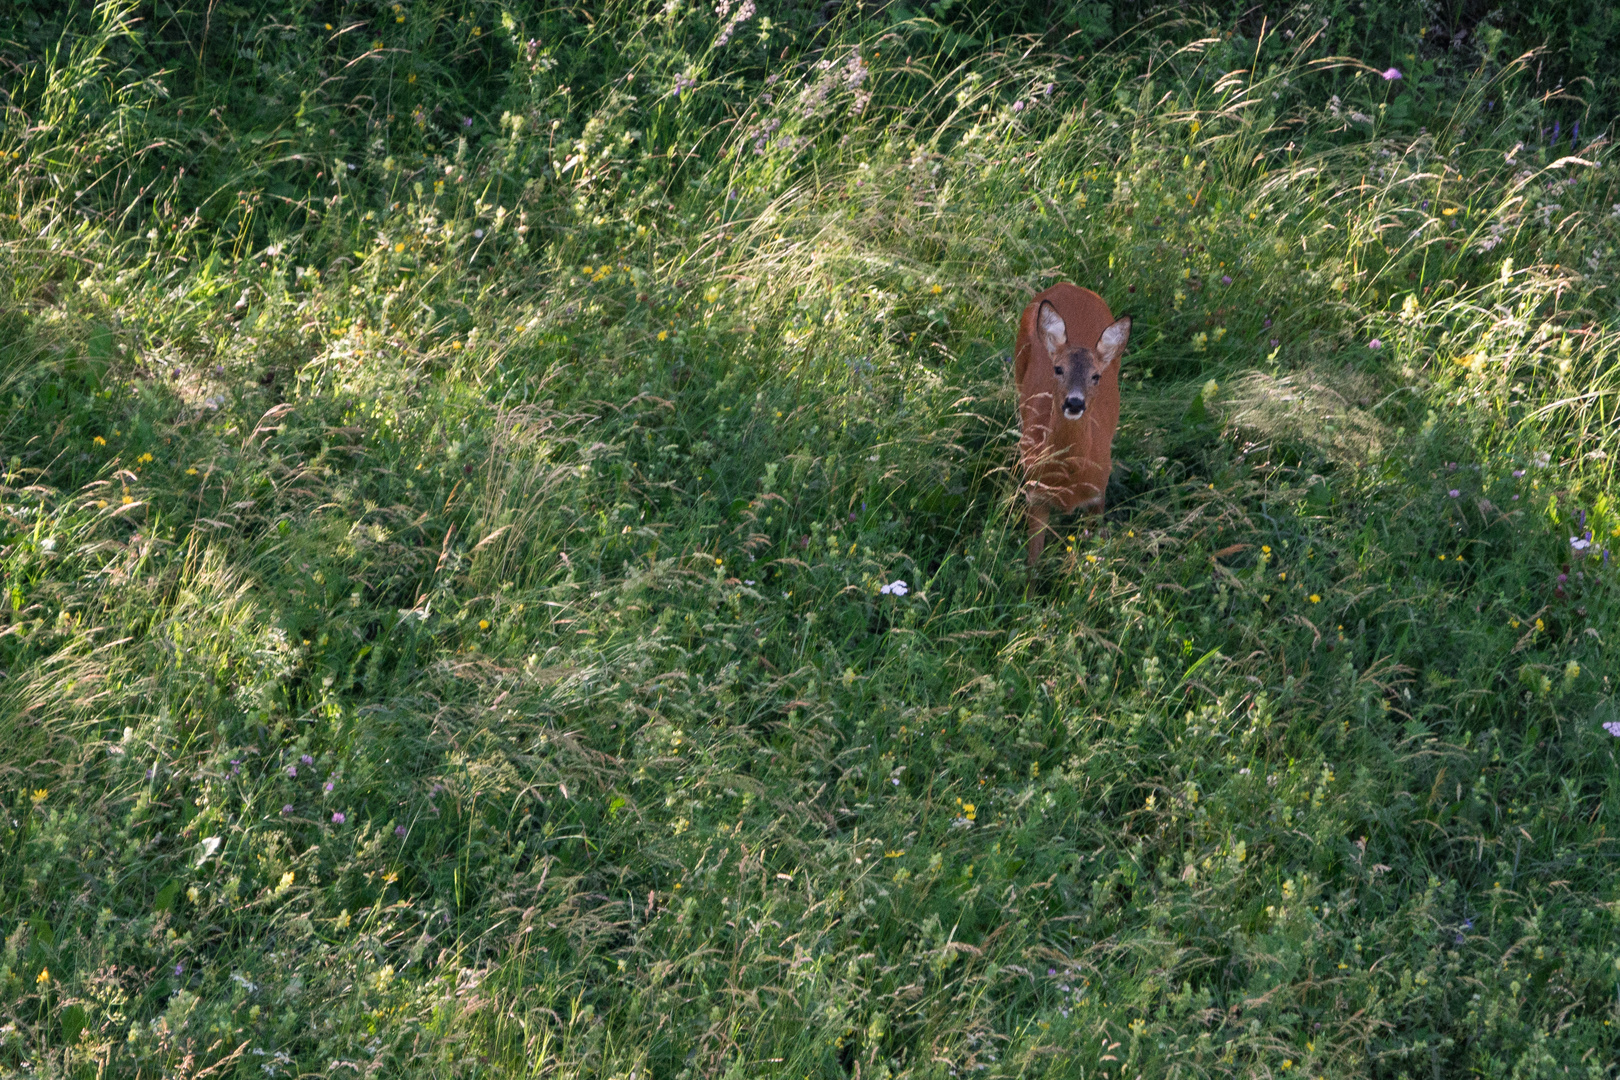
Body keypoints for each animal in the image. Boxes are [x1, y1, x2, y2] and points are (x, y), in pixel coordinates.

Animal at [1004, 283, 1134, 566]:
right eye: (1058, 369)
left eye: (1096, 376)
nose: (1074, 402)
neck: (1070, 475)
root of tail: (1069, 286)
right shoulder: (1036, 495)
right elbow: (1033, 562)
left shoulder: (1098, 495)